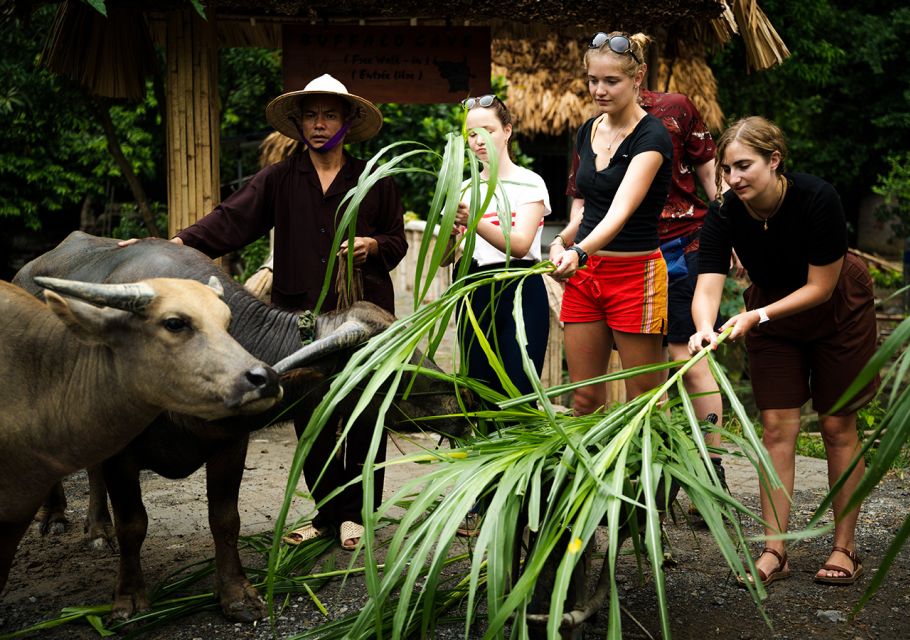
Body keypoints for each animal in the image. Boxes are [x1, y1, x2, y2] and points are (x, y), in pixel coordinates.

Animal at [0, 276, 282, 596]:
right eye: (174, 323)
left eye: (228, 322)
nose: (266, 379)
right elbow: (132, 525)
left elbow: (225, 518)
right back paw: (56, 517)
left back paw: (98, 529)